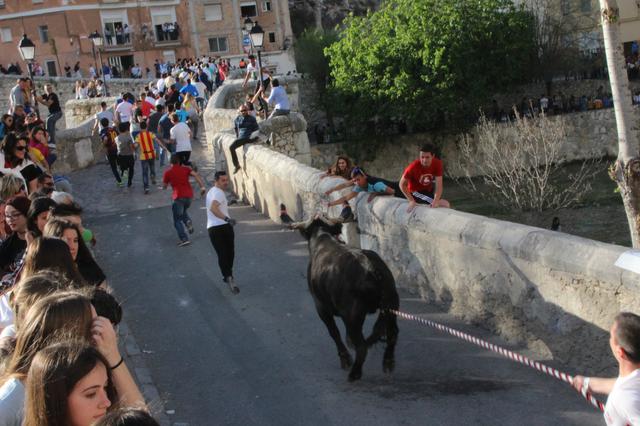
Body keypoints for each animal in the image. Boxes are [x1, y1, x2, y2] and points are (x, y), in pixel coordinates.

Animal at [296, 218, 400, 382]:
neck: (322, 238)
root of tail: (369, 267)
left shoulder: (321, 307)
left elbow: (334, 332)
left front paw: (345, 359)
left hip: (352, 315)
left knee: (362, 346)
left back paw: (355, 373)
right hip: (391, 306)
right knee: (392, 334)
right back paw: (388, 362)